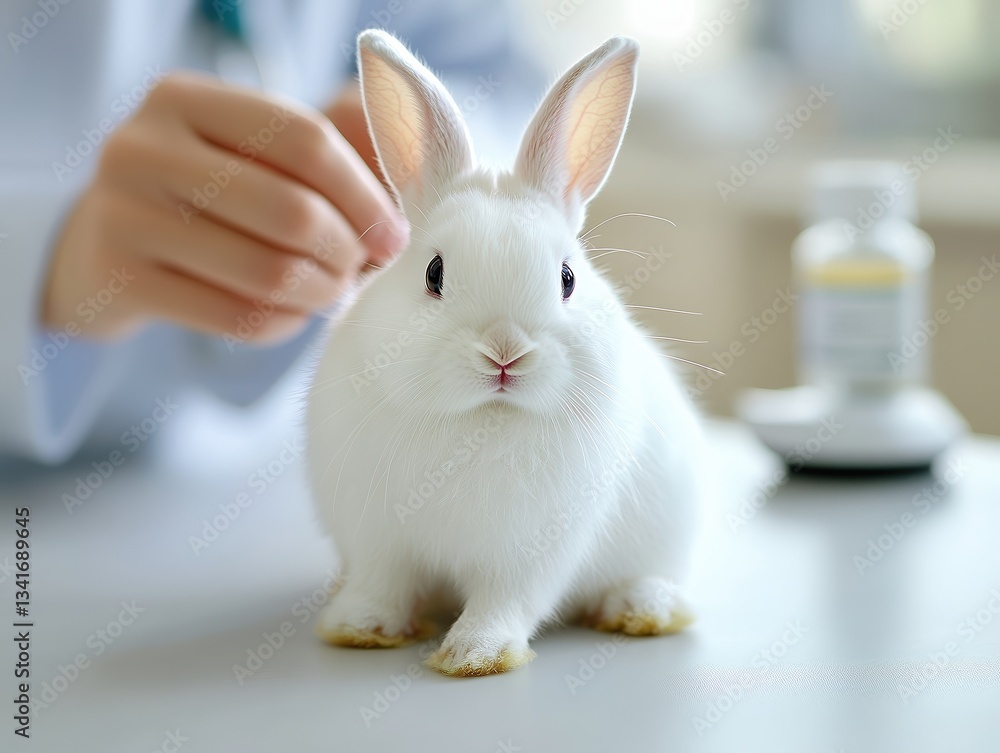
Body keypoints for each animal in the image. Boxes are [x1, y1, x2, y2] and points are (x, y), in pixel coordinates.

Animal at [306, 29, 706, 677]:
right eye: (434, 273)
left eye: (567, 278)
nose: (504, 354)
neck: (480, 419)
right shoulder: (378, 539)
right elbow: (381, 584)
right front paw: (358, 628)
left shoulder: (532, 552)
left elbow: (506, 599)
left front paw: (475, 654)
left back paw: (642, 610)